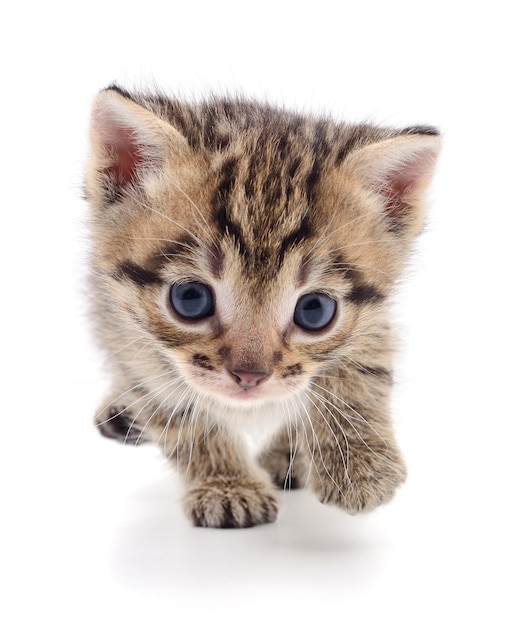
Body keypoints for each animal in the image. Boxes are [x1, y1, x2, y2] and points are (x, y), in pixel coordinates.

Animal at [85, 85, 440, 528]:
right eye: (190, 299)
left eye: (315, 310)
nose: (249, 376)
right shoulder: (124, 331)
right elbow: (178, 413)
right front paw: (227, 484)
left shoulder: (373, 321)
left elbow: (360, 365)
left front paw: (359, 462)